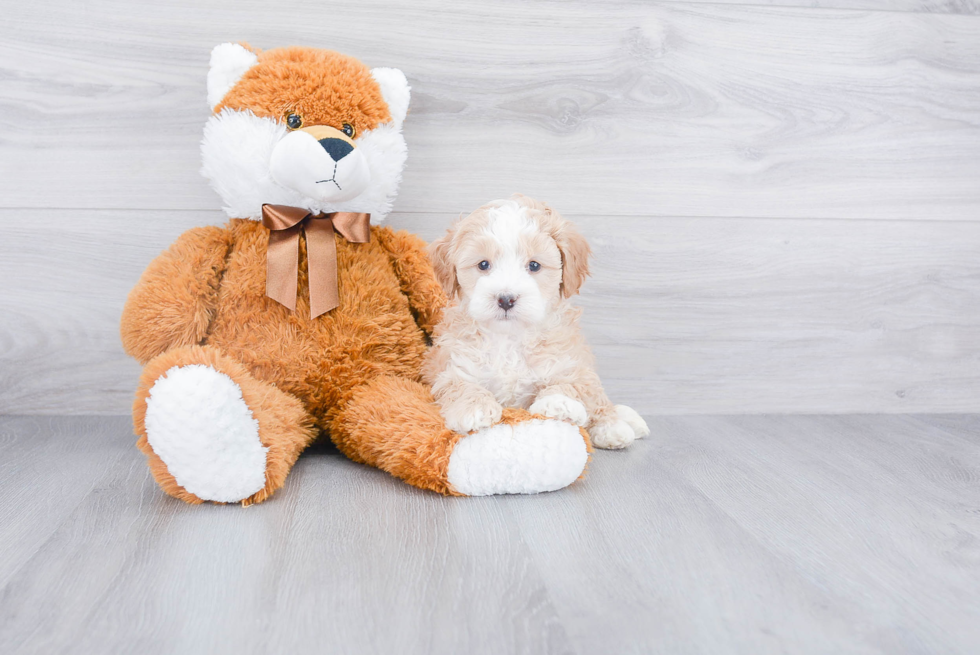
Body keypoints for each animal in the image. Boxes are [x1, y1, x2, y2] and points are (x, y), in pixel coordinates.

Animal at [424, 195, 648, 452]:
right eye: (483, 265)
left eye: (534, 265)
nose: (506, 299)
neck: (510, 338)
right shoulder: (452, 366)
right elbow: (457, 385)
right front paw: (474, 407)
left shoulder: (569, 361)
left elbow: (572, 382)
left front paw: (558, 401)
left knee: (597, 396)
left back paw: (613, 425)